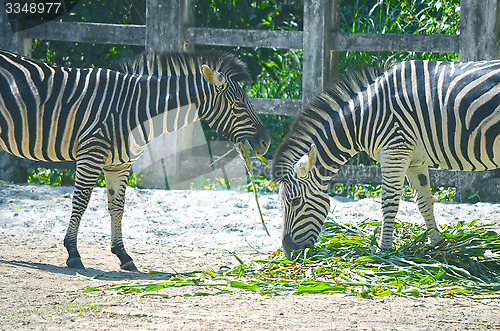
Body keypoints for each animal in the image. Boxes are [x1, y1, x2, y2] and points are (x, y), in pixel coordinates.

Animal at [0, 50, 270, 272]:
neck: (134, 109)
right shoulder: (91, 154)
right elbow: (81, 202)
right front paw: (73, 253)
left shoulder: (118, 164)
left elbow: (117, 207)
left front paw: (123, 255)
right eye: (238, 104)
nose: (266, 143)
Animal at [274, 61, 500, 260]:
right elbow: (423, 201)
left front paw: (383, 252)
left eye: (295, 201)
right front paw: (436, 245)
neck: (364, 117)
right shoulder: (414, 160)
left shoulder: (395, 150)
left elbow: (388, 203)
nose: (288, 253)